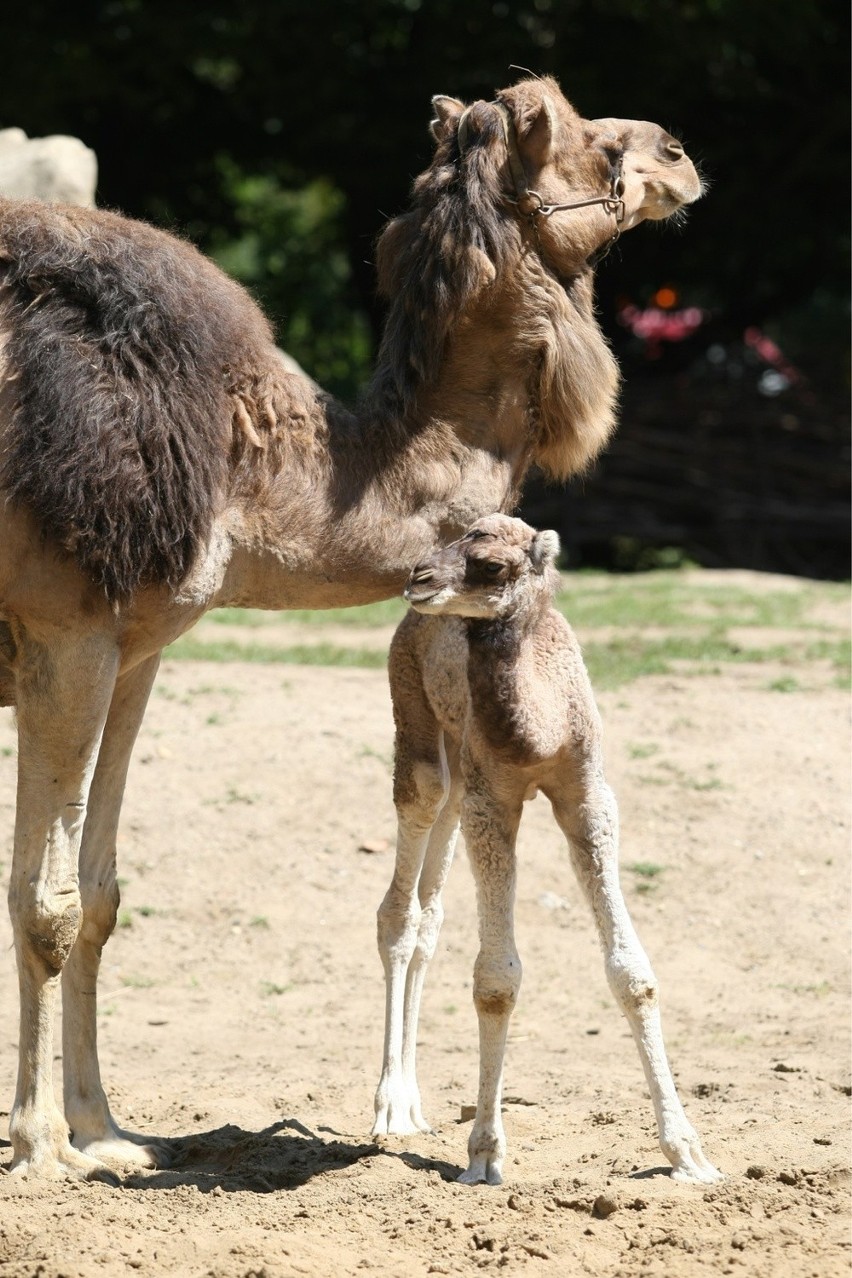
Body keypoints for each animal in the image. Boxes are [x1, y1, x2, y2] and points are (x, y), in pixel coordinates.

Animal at [372, 511, 720, 1185]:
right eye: (455, 540)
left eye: (493, 564)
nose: (419, 579)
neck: (537, 731)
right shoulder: (493, 801)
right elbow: (496, 980)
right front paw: (484, 1152)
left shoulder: (587, 795)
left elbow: (632, 973)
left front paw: (687, 1152)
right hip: (419, 729)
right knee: (403, 892)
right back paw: (391, 1109)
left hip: (458, 770)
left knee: (430, 912)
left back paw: (415, 1108)